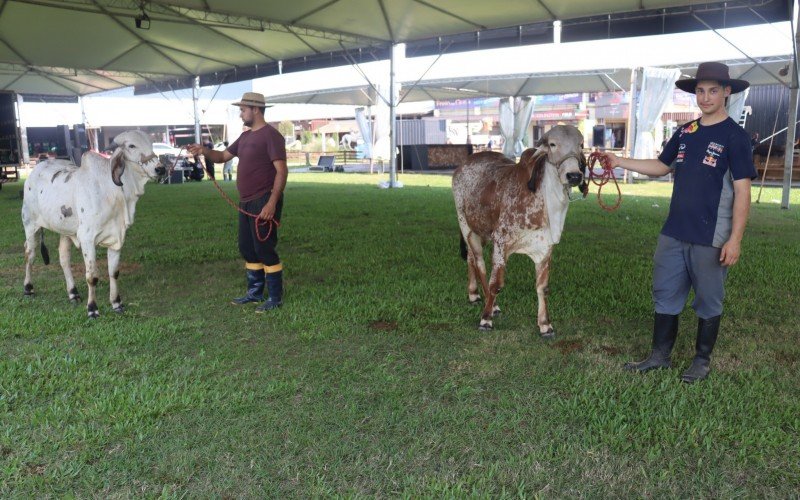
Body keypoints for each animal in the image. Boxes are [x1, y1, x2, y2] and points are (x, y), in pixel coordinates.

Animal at [21, 129, 164, 316]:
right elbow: (92, 276)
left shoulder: (117, 238)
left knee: (64, 259)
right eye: (132, 145)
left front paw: (116, 303)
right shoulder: (87, 239)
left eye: (151, 144)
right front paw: (92, 308)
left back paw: (73, 293)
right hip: (30, 225)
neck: (112, 192)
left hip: (65, 231)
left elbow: (113, 272)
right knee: (29, 255)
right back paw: (28, 289)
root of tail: (36, 169)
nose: (160, 168)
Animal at [450, 123, 588, 338]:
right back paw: (491, 305)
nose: (574, 175)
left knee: (471, 259)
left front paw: (545, 325)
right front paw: (485, 319)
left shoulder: (545, 249)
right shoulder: (500, 241)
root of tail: (466, 162)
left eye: (581, 145)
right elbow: (496, 284)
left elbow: (542, 287)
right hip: (466, 226)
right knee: (479, 263)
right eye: (552, 144)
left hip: (480, 231)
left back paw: (474, 294)